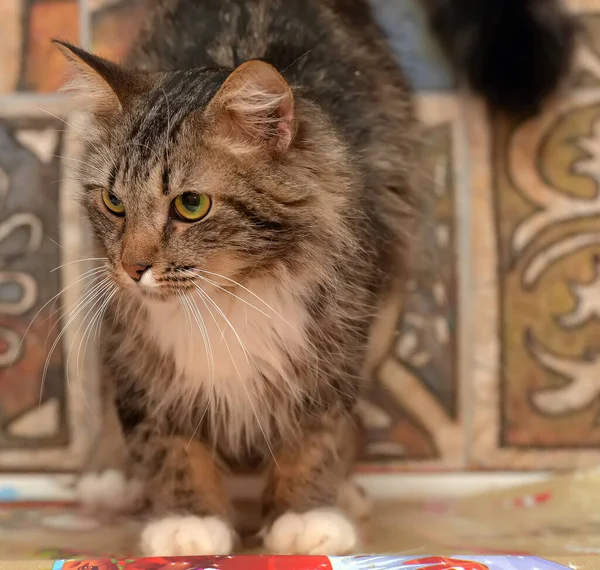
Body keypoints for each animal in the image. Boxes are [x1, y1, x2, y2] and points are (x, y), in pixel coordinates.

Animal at [57, 0, 576, 556]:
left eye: (190, 205)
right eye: (114, 202)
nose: (132, 268)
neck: (229, 296)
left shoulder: (335, 342)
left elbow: (315, 435)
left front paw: (305, 515)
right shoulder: (139, 355)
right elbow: (167, 443)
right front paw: (187, 521)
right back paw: (111, 477)